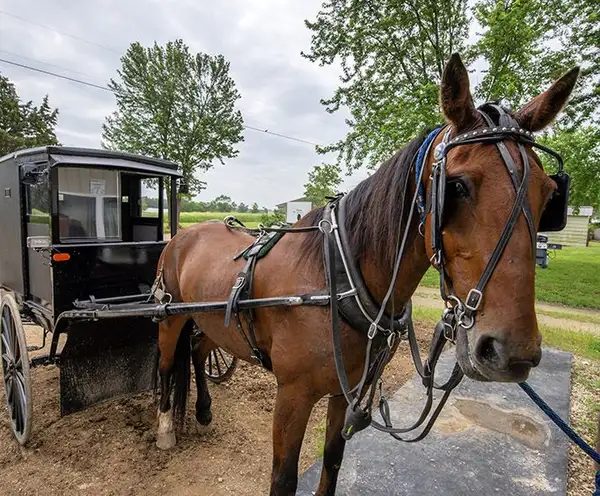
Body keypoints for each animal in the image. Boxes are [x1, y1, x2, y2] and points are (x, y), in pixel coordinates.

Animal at [152, 52, 580, 494]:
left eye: (550, 195)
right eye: (457, 187)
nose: (510, 351)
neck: (336, 279)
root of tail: (182, 235)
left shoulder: (347, 391)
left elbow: (333, 459)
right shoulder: (292, 396)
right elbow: (284, 479)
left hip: (209, 320)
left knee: (198, 350)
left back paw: (203, 412)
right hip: (170, 316)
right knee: (167, 362)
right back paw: (165, 428)